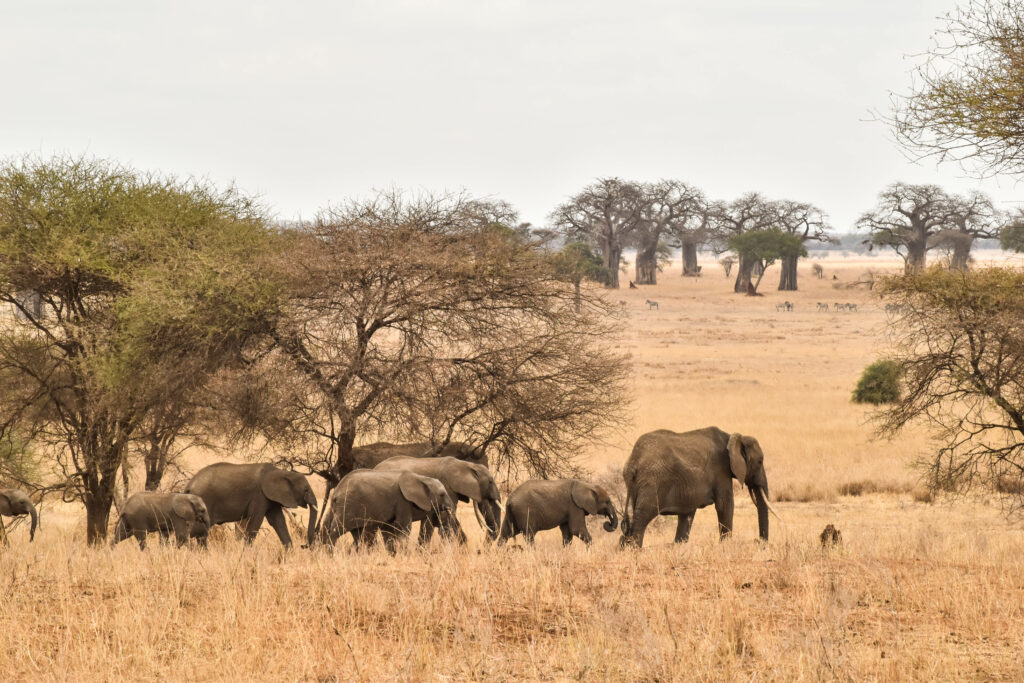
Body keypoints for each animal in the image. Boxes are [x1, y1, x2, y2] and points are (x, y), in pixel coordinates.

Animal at [184, 462, 317, 548]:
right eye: (306, 490)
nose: (303, 546)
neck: (280, 472)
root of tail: (189, 486)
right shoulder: (259, 496)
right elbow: (256, 521)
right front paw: (247, 552)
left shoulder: (269, 498)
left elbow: (278, 522)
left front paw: (289, 552)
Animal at [315, 473, 452, 552]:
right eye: (442, 495)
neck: (421, 478)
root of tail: (337, 491)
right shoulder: (403, 502)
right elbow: (403, 528)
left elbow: (389, 529)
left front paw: (393, 555)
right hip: (347, 506)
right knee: (336, 531)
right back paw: (330, 555)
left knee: (354, 533)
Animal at [618, 430, 778, 548]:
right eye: (760, 461)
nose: (758, 541)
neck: (731, 436)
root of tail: (634, 461)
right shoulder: (721, 472)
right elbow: (725, 505)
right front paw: (726, 546)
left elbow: (687, 514)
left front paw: (679, 547)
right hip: (652, 482)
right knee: (642, 518)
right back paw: (635, 550)